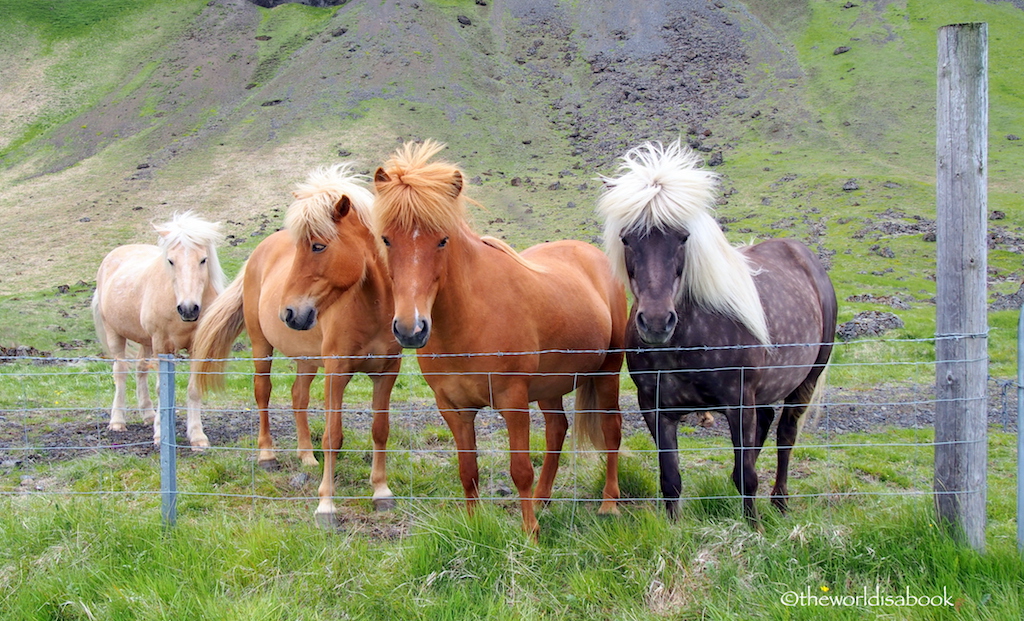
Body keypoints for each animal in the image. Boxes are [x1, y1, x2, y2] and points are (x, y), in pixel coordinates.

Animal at [91, 212, 225, 450]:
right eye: (171, 261)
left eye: (203, 259)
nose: (188, 309)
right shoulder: (162, 345)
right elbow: (162, 389)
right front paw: (161, 434)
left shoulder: (196, 346)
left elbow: (193, 389)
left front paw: (197, 436)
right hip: (116, 334)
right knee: (121, 371)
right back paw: (117, 421)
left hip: (145, 341)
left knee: (140, 370)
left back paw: (148, 415)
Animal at [193, 163, 401, 524]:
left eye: (318, 246)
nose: (289, 313)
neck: (371, 306)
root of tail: (258, 254)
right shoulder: (336, 372)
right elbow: (332, 435)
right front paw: (326, 504)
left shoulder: (386, 373)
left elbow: (380, 430)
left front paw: (381, 491)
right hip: (262, 348)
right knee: (263, 393)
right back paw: (267, 456)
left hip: (306, 359)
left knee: (297, 397)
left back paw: (307, 457)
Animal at [372, 140, 626, 536]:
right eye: (386, 239)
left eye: (442, 240)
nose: (411, 329)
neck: (468, 322)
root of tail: (592, 254)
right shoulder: (453, 408)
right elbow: (468, 470)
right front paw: (475, 526)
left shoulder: (513, 400)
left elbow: (520, 469)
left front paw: (531, 534)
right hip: (551, 385)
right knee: (557, 430)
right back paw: (542, 500)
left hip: (608, 371)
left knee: (611, 430)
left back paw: (608, 504)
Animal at [598, 142, 835, 528]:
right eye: (626, 239)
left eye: (683, 237)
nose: (657, 322)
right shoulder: (656, 409)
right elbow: (671, 479)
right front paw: (674, 528)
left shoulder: (738, 402)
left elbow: (748, 477)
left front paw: (754, 530)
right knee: (765, 426)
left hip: (806, 381)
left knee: (785, 436)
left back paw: (780, 502)